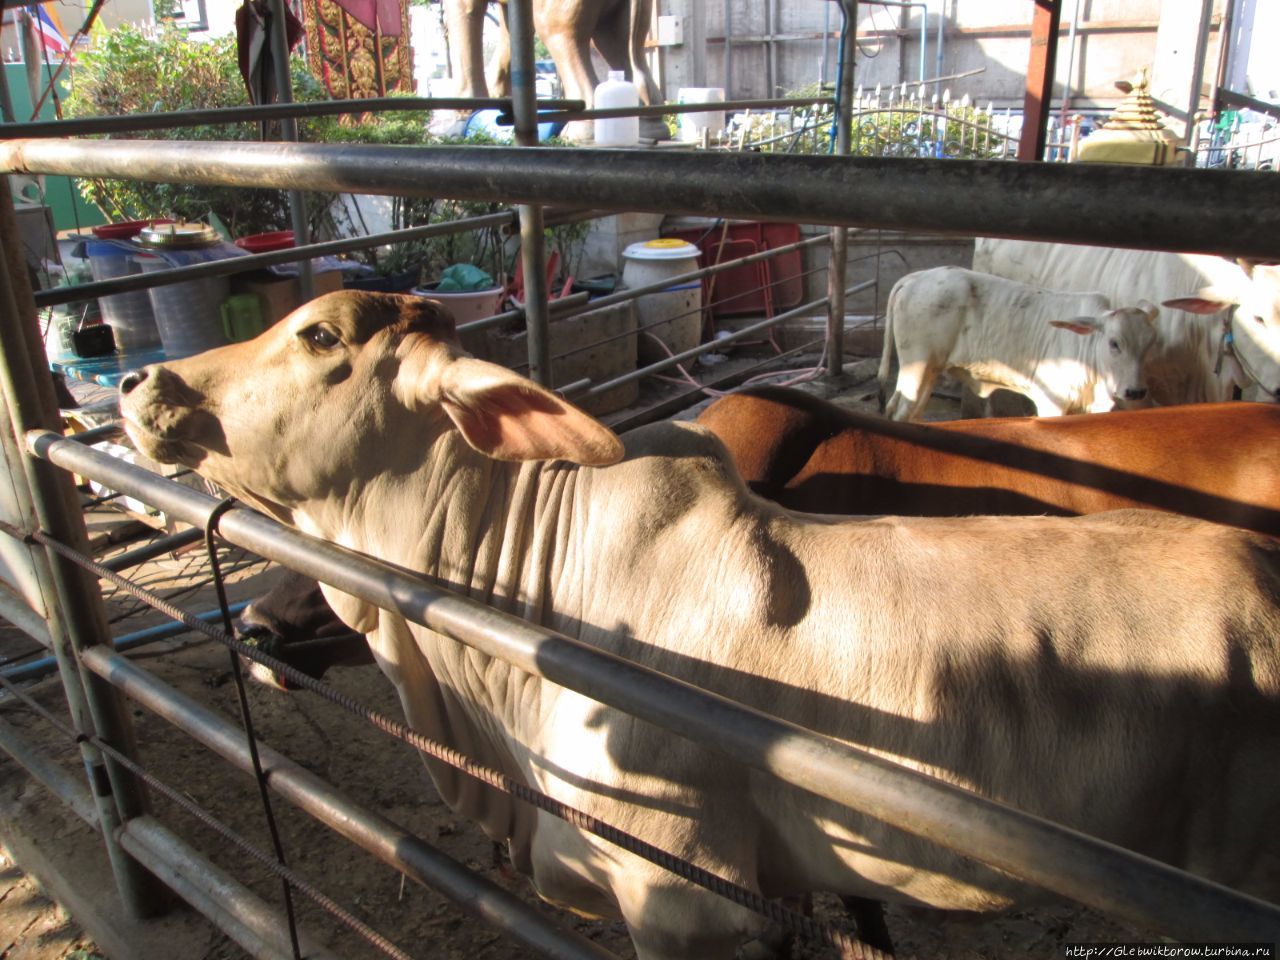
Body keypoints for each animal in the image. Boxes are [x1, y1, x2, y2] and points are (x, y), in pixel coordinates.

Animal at [880, 268, 1162, 422]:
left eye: (1150, 344)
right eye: (1114, 343)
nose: (1136, 392)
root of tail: (915, 277)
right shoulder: (1052, 403)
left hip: (931, 369)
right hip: (916, 366)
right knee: (901, 412)